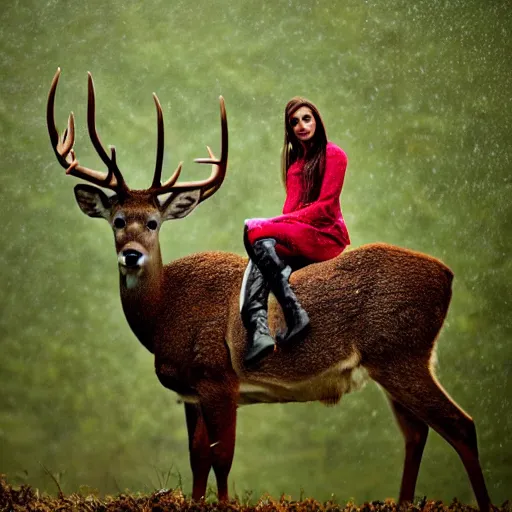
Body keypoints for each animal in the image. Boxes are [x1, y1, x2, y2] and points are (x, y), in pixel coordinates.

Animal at [48, 69, 492, 512]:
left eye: (154, 222)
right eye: (118, 221)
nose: (131, 256)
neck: (163, 314)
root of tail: (448, 277)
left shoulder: (217, 376)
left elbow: (222, 456)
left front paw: (224, 503)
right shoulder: (190, 391)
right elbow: (196, 457)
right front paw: (198, 501)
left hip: (402, 351)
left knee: (461, 425)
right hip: (396, 359)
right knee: (417, 432)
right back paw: (402, 502)